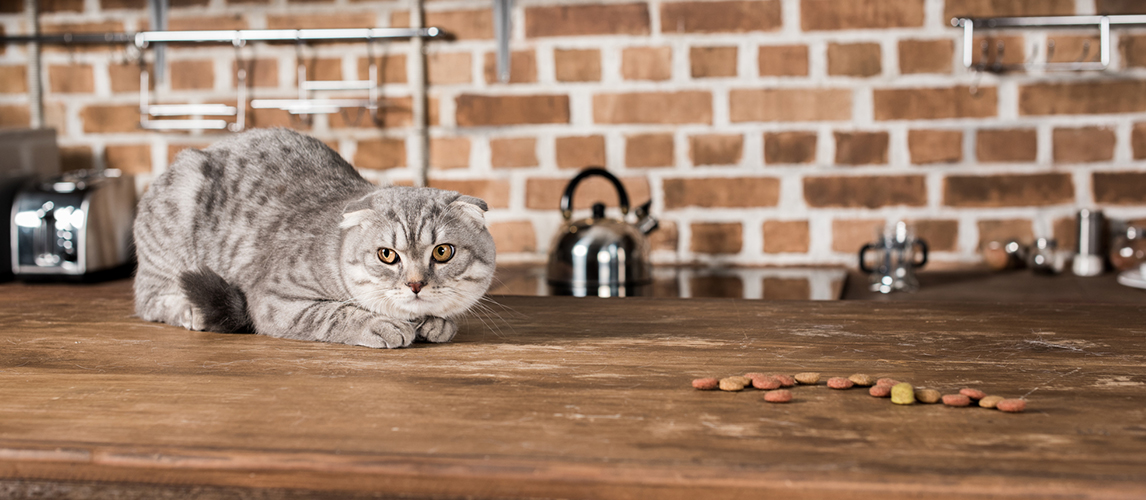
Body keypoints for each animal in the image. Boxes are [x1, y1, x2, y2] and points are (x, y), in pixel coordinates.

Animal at [132, 127, 492, 348]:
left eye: (443, 252)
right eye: (387, 255)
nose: (416, 284)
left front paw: (438, 322)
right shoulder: (274, 299)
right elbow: (333, 313)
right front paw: (380, 324)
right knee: (149, 300)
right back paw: (189, 311)